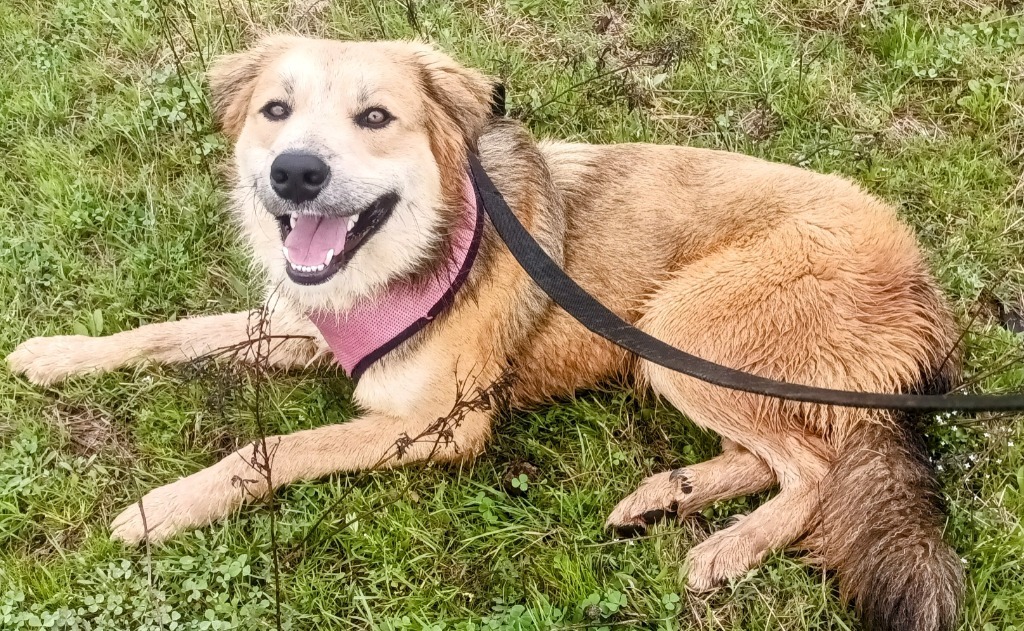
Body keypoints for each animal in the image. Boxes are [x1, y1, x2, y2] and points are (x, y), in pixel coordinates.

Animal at [8, 35, 962, 631]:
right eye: (275, 110)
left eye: (377, 118)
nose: (294, 173)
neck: (420, 246)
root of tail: (924, 290)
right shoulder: (304, 329)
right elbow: (170, 329)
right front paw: (59, 354)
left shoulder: (442, 425)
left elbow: (272, 447)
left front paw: (161, 507)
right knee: (769, 454)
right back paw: (669, 492)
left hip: (678, 324)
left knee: (811, 466)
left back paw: (726, 548)